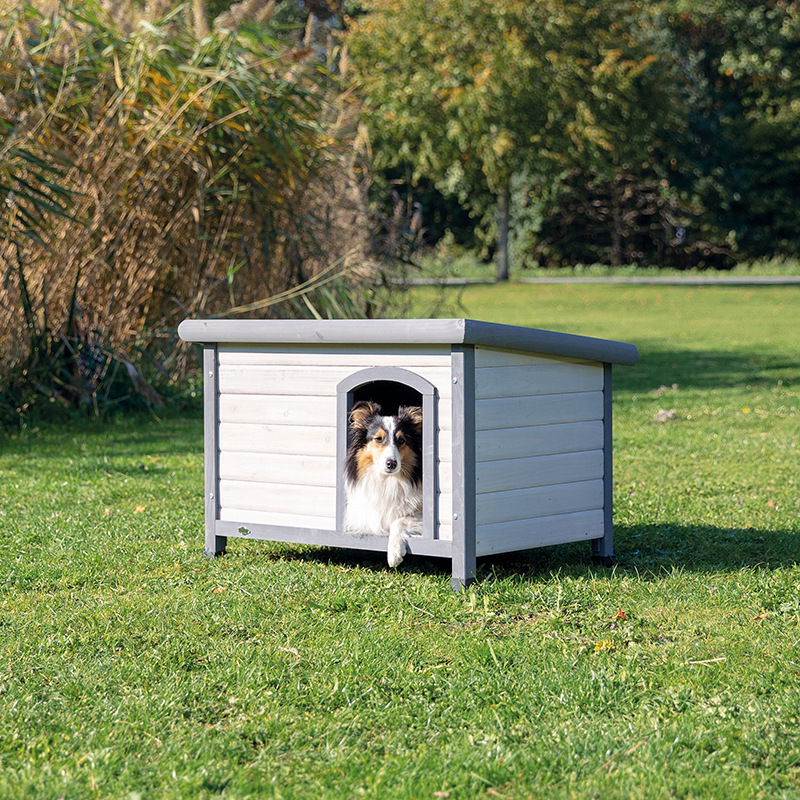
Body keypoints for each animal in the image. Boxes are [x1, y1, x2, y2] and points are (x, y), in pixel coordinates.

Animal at [344, 400, 424, 568]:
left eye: (401, 440)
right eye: (378, 439)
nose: (391, 464)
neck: (388, 480)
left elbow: (398, 520)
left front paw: (394, 553)